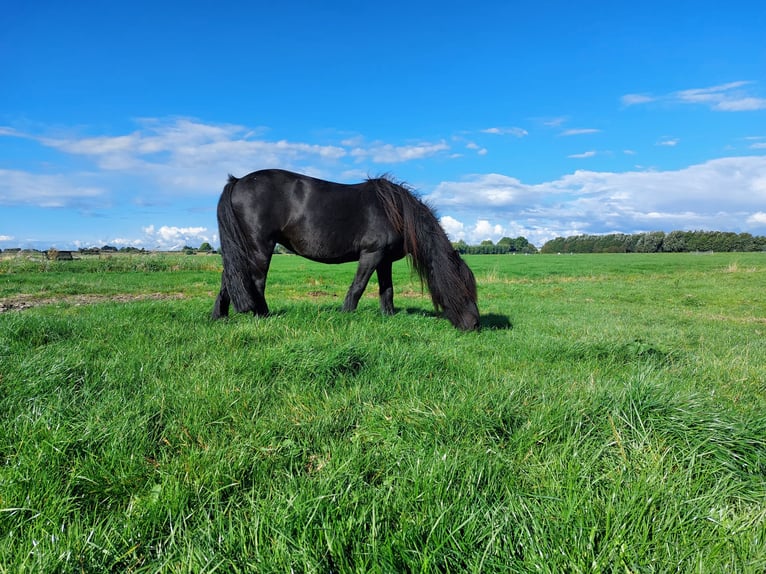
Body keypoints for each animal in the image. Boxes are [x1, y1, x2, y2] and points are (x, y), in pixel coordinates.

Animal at [213, 171, 480, 330]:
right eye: (464, 288)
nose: (476, 325)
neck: (396, 211)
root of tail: (238, 181)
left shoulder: (384, 260)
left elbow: (387, 290)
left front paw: (389, 317)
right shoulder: (372, 254)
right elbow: (358, 287)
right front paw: (346, 315)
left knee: (229, 278)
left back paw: (219, 317)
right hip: (259, 248)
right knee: (255, 282)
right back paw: (263, 317)